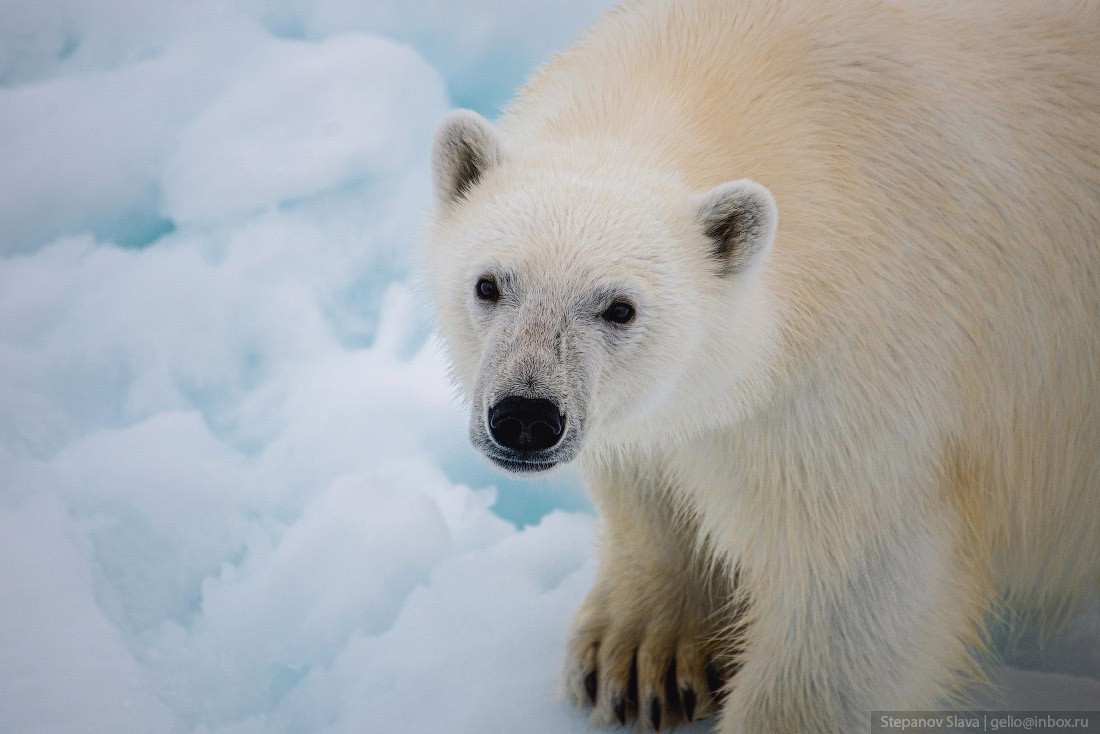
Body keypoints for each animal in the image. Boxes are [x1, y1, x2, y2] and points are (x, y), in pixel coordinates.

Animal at [420, 2, 1100, 730]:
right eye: (489, 284)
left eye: (620, 308)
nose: (524, 416)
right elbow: (653, 470)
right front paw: (640, 655)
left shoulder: (871, 380)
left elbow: (855, 594)